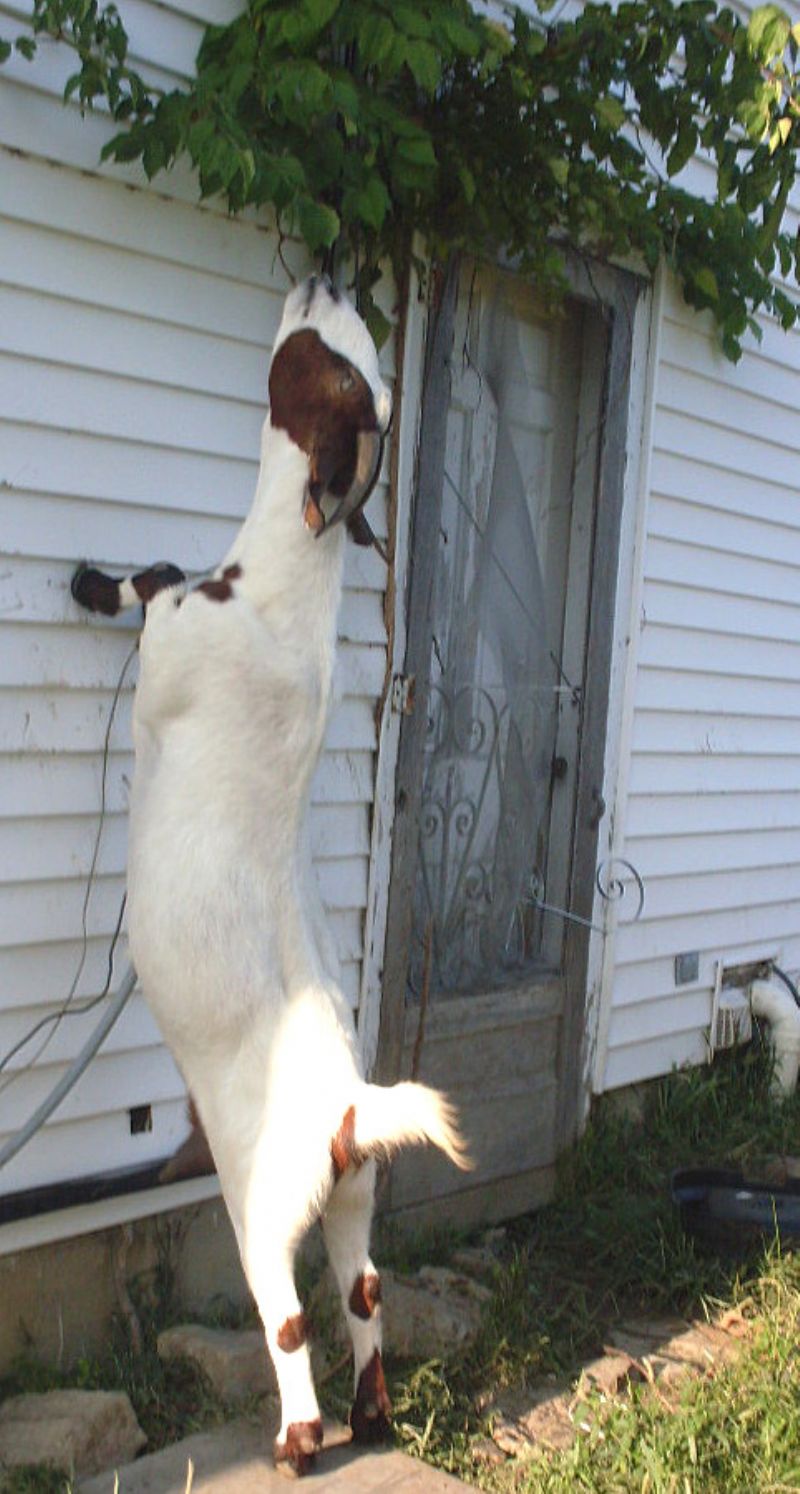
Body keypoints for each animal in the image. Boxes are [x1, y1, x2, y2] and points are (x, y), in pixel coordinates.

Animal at [72, 275, 469, 1474]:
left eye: (326, 361)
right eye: (357, 356)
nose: (333, 275)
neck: (279, 596)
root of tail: (343, 1110)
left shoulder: (173, 646)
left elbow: (150, 587)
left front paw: (87, 581)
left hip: (261, 1209)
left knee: (288, 1320)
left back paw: (298, 1443)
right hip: (354, 1199)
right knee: (366, 1294)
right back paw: (373, 1415)